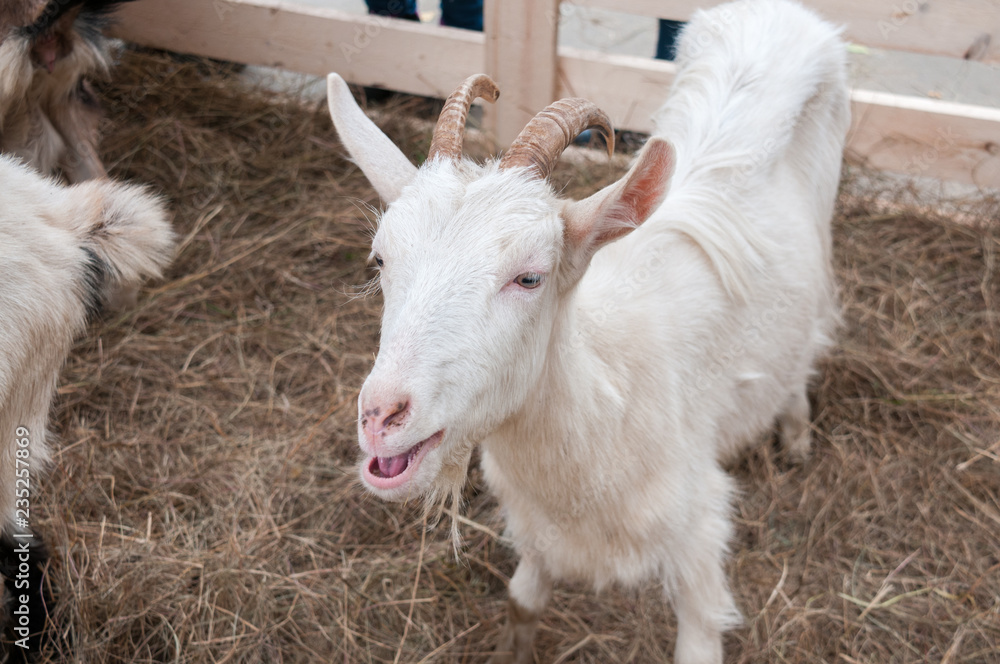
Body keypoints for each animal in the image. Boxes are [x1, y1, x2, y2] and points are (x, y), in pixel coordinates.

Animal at [326, 0, 849, 662]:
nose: (382, 418)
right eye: (380, 260)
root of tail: (780, 13)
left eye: (529, 277)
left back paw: (797, 431)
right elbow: (523, 601)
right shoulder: (537, 529)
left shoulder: (698, 534)